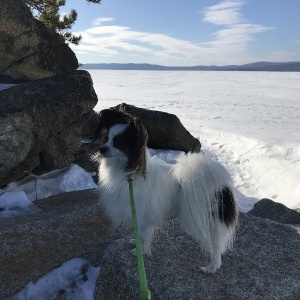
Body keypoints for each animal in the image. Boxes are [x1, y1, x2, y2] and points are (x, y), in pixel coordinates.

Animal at [96, 108, 237, 274]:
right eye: (106, 138)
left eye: (118, 142)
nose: (101, 149)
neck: (128, 172)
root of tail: (220, 185)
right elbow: (141, 234)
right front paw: (135, 242)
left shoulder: (144, 215)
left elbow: (145, 236)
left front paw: (141, 252)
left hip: (212, 220)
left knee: (216, 246)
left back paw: (211, 267)